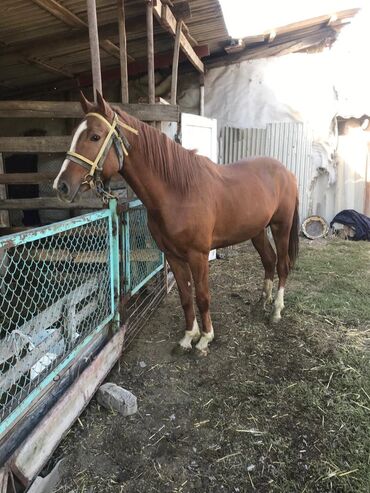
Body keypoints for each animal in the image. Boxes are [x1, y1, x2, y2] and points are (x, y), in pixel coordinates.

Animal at [53, 92, 300, 354]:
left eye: (95, 136)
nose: (61, 186)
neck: (179, 191)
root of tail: (287, 172)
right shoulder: (172, 255)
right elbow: (185, 296)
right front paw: (188, 337)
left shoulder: (198, 255)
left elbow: (202, 297)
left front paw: (205, 339)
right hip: (257, 231)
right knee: (269, 260)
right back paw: (263, 301)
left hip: (281, 227)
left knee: (282, 265)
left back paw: (276, 310)